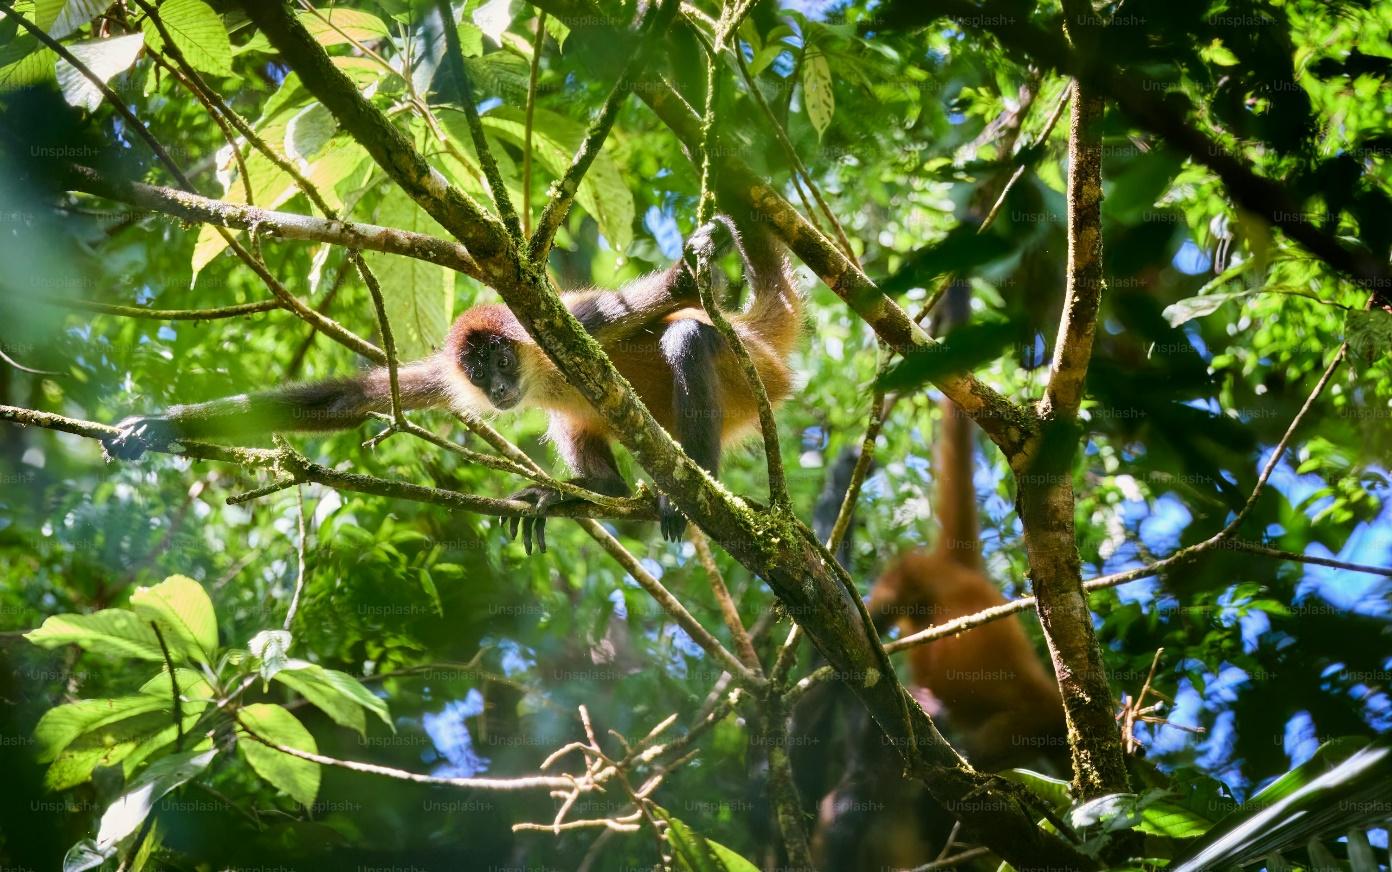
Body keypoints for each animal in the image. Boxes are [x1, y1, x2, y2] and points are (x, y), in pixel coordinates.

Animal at [103, 214, 801, 546]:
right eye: (476, 370)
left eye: (502, 361)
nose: (497, 390)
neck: (541, 373)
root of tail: (759, 340)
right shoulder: (447, 372)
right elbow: (353, 399)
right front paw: (153, 426)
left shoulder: (578, 323)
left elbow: (665, 300)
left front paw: (695, 266)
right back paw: (584, 491)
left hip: (747, 375)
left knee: (691, 336)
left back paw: (687, 486)